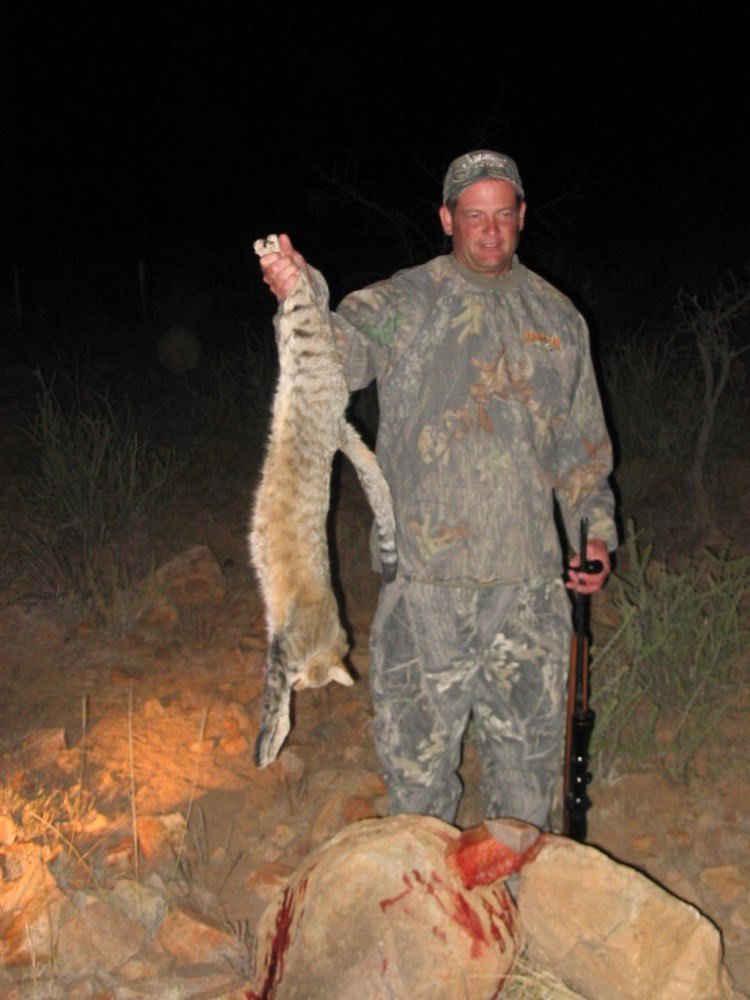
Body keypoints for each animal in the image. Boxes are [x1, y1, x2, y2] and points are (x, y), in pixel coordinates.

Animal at [250, 234, 400, 764]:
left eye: (313, 686)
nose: (306, 685)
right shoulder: (283, 651)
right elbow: (275, 708)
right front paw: (269, 743)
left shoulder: (279, 649)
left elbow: (277, 701)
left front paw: (276, 734)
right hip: (314, 349)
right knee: (310, 290)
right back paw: (278, 256)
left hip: (297, 344)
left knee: (299, 300)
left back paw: (276, 255)